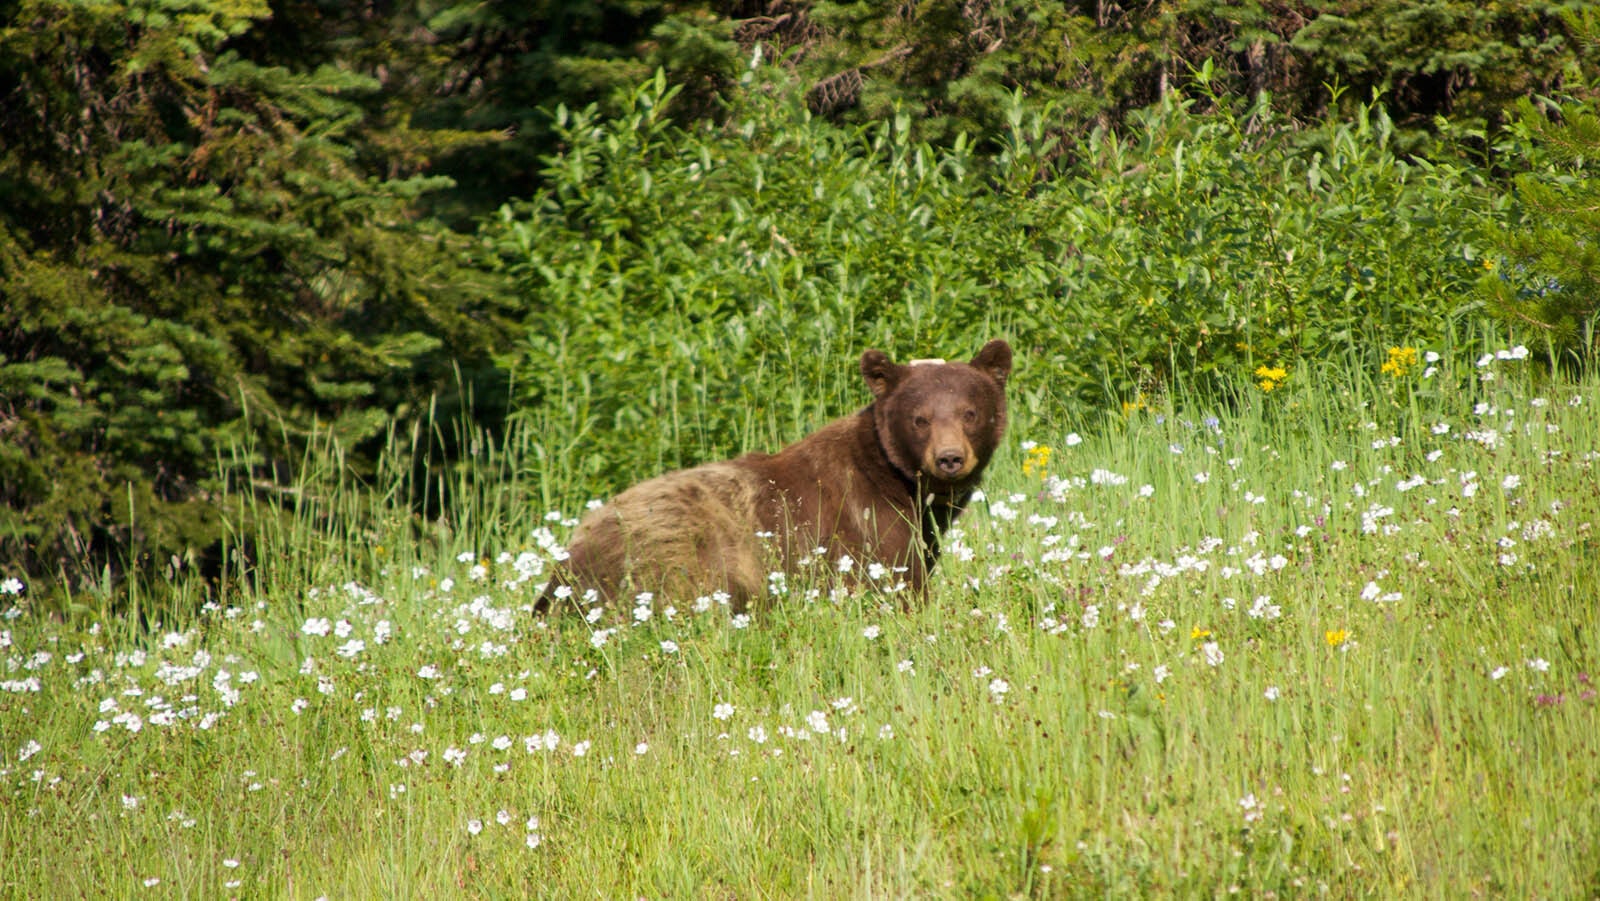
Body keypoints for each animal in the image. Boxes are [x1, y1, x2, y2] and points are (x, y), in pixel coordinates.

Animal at [544, 340, 1004, 614]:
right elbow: (894, 582)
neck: (901, 484)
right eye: (920, 419)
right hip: (672, 550)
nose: (949, 458)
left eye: (969, 412)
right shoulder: (859, 523)